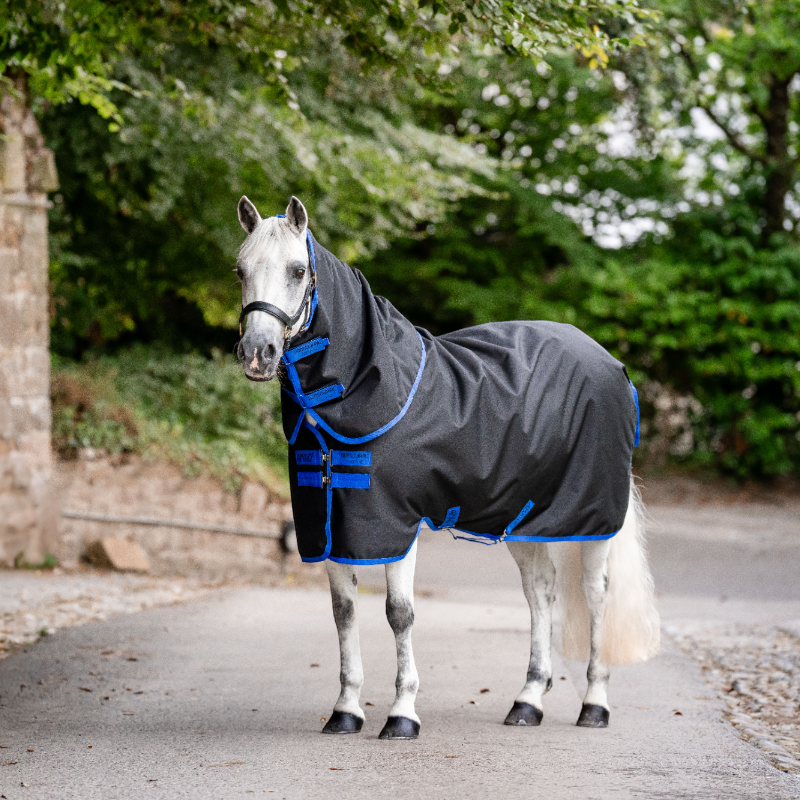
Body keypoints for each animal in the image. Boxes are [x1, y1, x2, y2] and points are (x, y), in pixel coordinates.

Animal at [231, 195, 660, 740]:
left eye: (297, 269)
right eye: (240, 270)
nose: (257, 354)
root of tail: (613, 366)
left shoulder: (396, 524)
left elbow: (399, 613)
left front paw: (402, 714)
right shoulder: (330, 525)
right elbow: (344, 613)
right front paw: (346, 711)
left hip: (594, 518)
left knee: (597, 594)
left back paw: (595, 704)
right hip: (522, 518)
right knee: (540, 593)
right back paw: (527, 701)